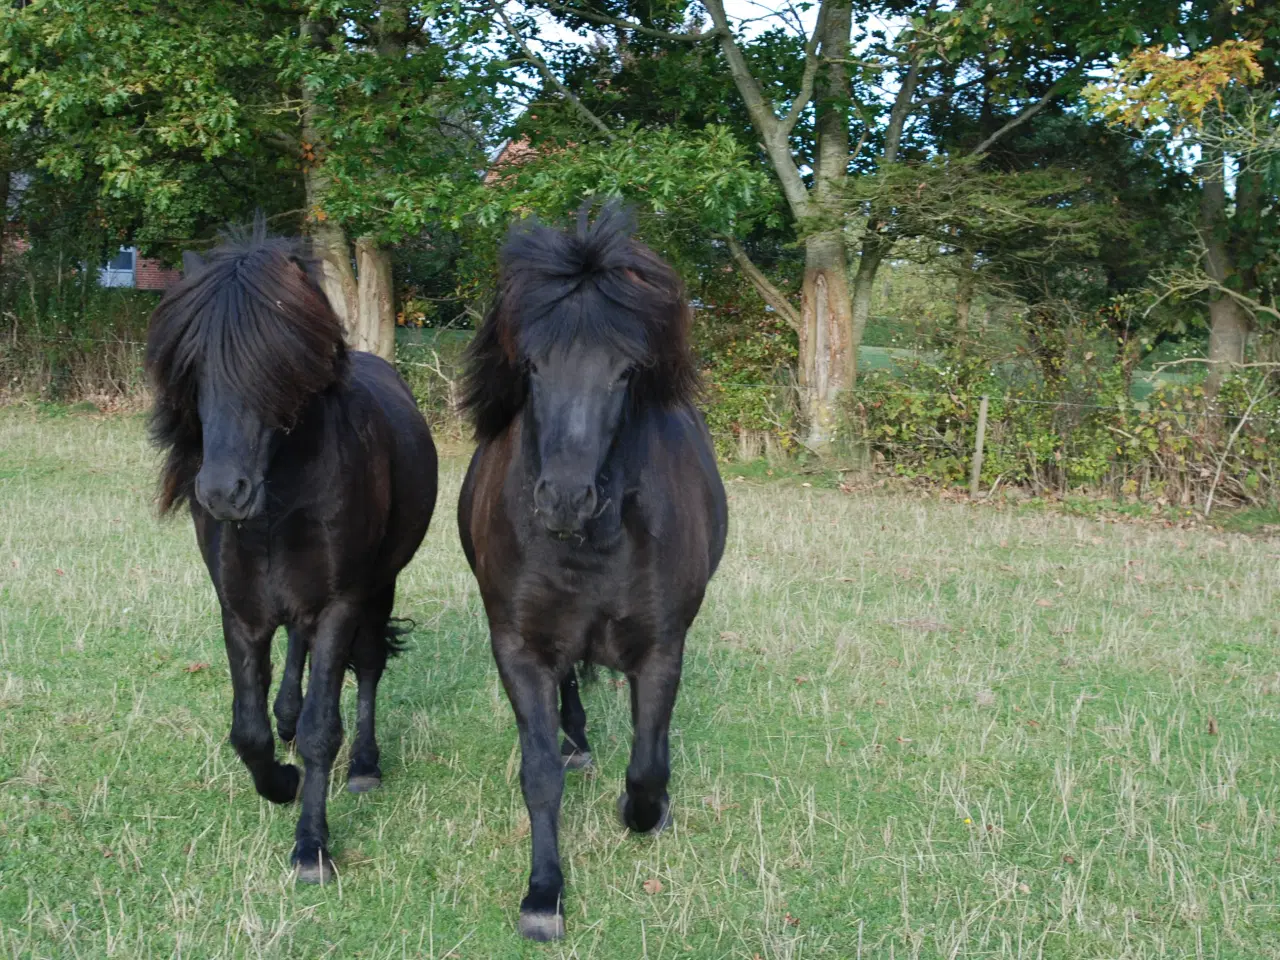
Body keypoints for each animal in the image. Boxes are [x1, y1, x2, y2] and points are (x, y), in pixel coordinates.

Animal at [147, 227, 437, 885]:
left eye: (278, 365)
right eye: (194, 367)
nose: (223, 493)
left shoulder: (340, 605)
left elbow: (321, 729)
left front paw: (311, 847)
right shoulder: (240, 610)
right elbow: (248, 730)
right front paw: (279, 780)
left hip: (378, 591)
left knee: (368, 668)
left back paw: (365, 766)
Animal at [458, 207, 732, 942]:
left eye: (627, 371)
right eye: (532, 365)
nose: (564, 500)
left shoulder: (663, 647)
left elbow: (648, 765)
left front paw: (647, 815)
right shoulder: (519, 648)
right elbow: (539, 773)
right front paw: (543, 894)